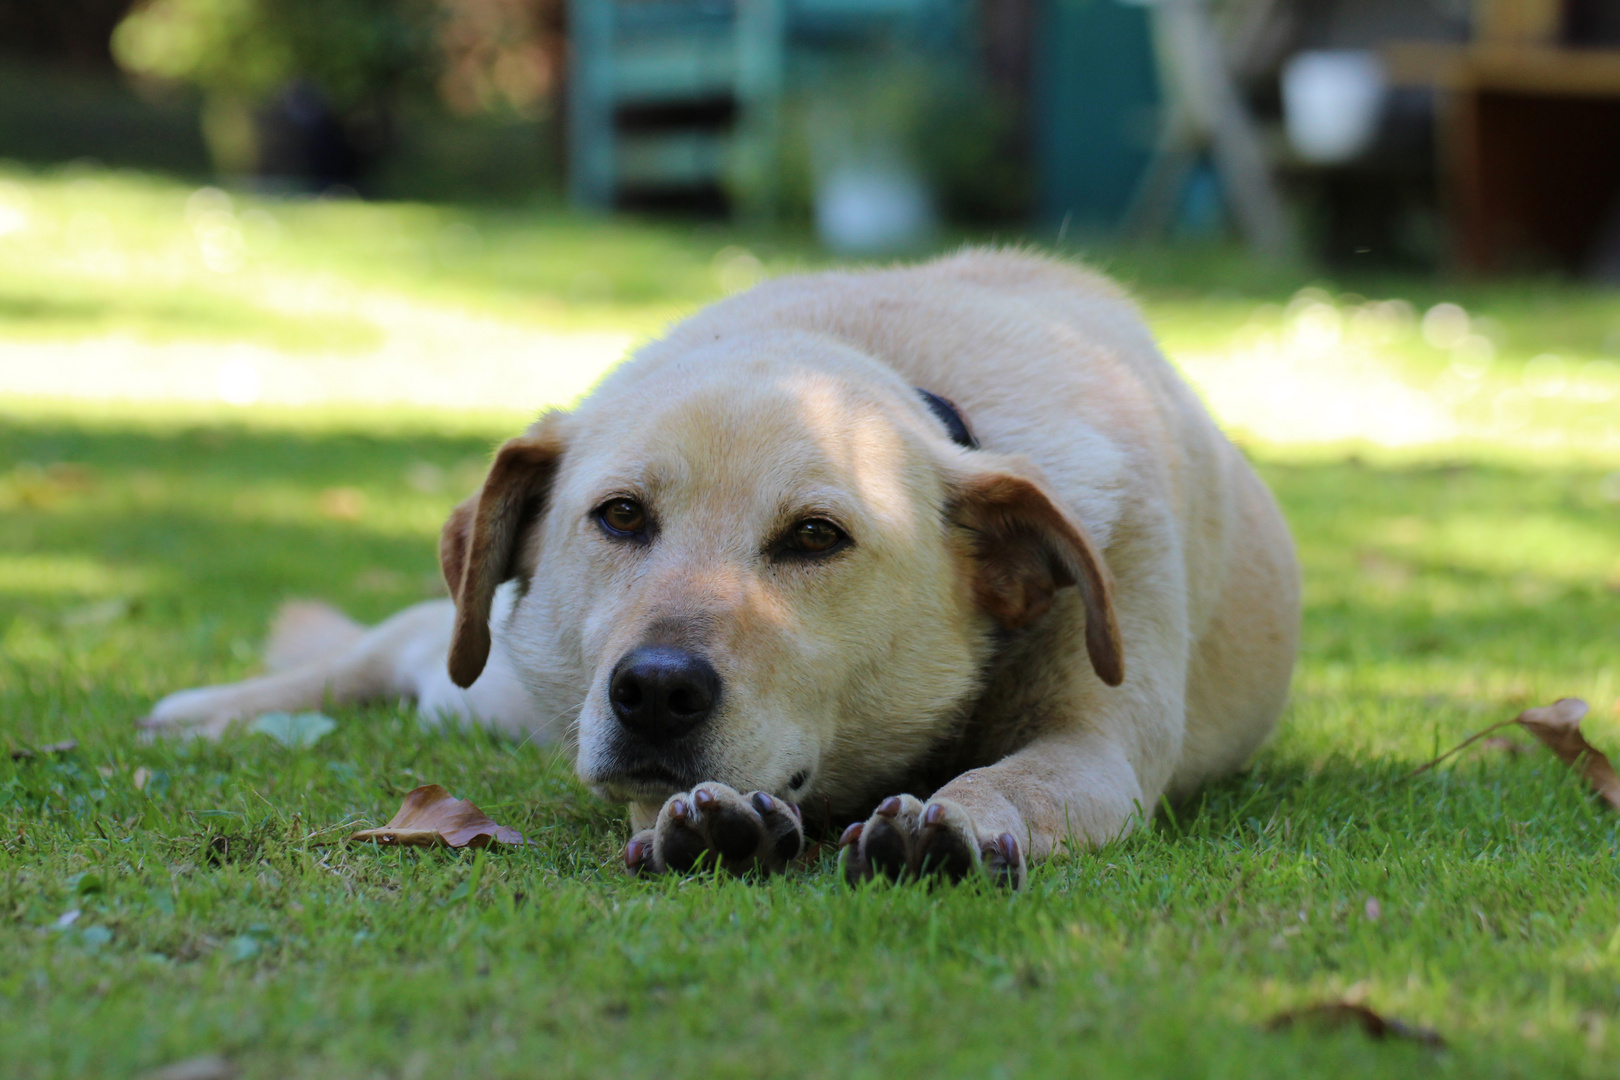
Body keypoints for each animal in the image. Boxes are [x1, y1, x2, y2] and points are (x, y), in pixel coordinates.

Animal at [145, 250, 1296, 887]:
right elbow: (651, 802)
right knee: (391, 648)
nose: (654, 692)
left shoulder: (1096, 750)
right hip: (494, 682)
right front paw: (704, 823)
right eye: (620, 516)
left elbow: (1012, 779)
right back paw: (207, 709)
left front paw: (959, 818)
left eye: (817, 538)